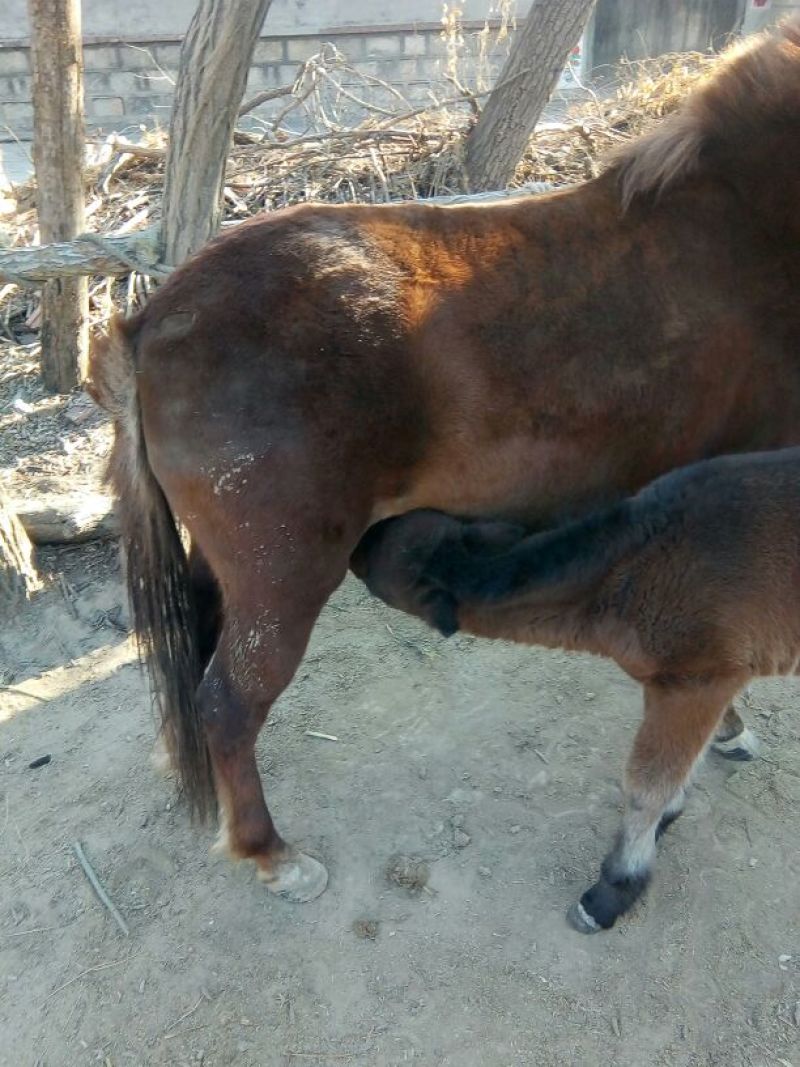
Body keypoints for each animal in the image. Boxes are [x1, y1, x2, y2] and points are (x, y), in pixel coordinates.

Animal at [350, 448, 800, 930]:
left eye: (377, 557)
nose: (353, 544)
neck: (634, 566)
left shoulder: (700, 678)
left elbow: (645, 787)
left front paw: (613, 890)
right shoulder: (669, 684)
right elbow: (674, 773)